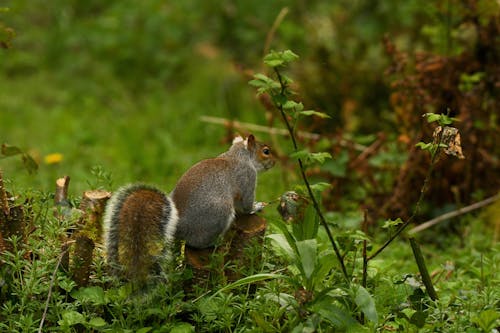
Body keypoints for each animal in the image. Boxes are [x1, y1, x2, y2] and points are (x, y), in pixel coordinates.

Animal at [101, 133, 274, 280]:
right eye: (266, 151)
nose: (274, 163)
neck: (238, 155)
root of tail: (178, 225)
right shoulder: (247, 178)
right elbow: (246, 205)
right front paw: (257, 206)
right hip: (220, 214)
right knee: (196, 243)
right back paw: (215, 243)